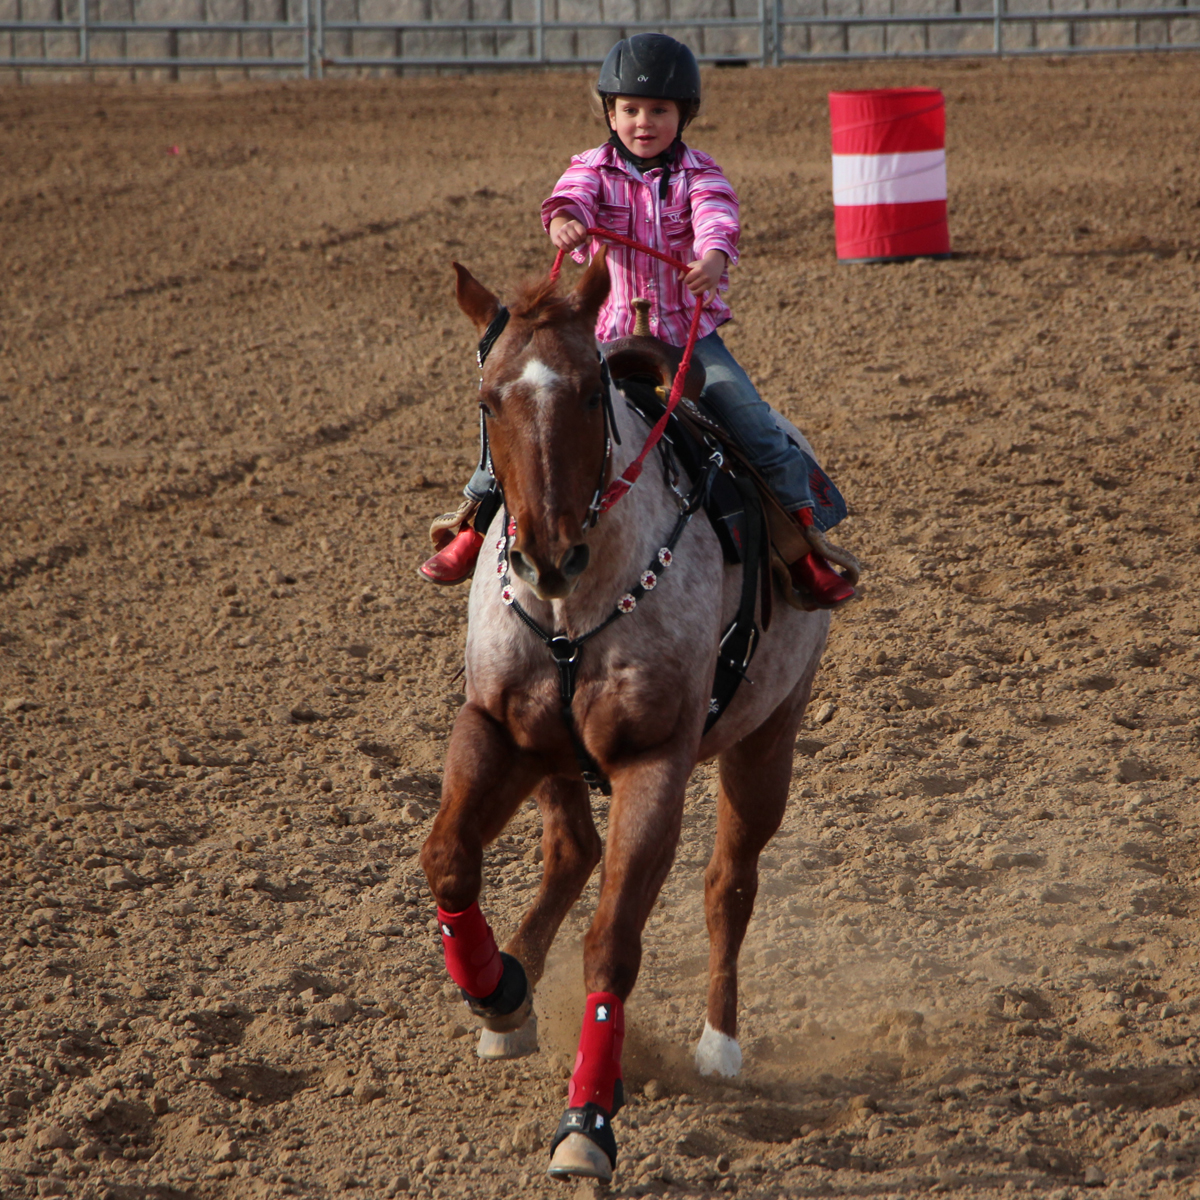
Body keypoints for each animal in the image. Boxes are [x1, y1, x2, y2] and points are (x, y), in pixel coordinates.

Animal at [419, 248, 831, 1182]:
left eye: (584, 391)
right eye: (488, 400)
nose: (545, 555)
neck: (574, 608)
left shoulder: (654, 764)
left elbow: (612, 943)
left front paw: (587, 1123)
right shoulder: (492, 727)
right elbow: (449, 861)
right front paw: (498, 991)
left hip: (767, 744)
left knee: (729, 885)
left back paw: (719, 1043)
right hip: (549, 757)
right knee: (572, 849)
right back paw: (512, 992)